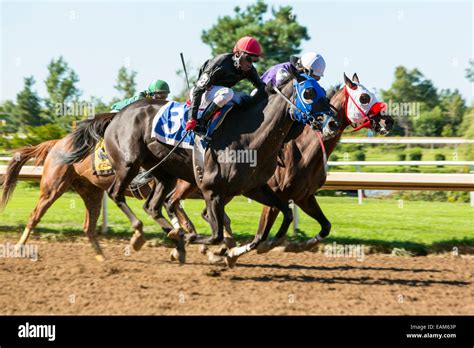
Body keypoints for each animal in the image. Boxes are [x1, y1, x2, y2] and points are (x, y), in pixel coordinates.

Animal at [58, 72, 334, 264]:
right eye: (309, 92)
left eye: (323, 90)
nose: (331, 123)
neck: (250, 135)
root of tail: (117, 114)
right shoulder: (212, 191)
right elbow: (216, 234)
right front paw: (204, 243)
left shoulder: (254, 188)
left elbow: (282, 216)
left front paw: (251, 248)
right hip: (128, 164)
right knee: (117, 194)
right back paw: (142, 236)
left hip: (164, 174)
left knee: (152, 206)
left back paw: (176, 243)